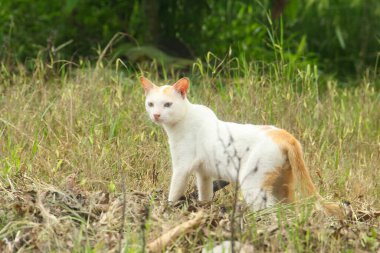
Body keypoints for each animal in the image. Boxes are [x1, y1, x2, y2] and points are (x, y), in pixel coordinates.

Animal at [141, 76, 342, 215]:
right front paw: (204, 210)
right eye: (151, 104)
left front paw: (166, 210)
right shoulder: (204, 174)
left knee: (270, 212)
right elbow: (205, 194)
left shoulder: (182, 167)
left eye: (167, 104)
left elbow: (173, 193)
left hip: (253, 186)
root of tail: (285, 135)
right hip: (283, 187)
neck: (182, 121)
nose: (156, 115)